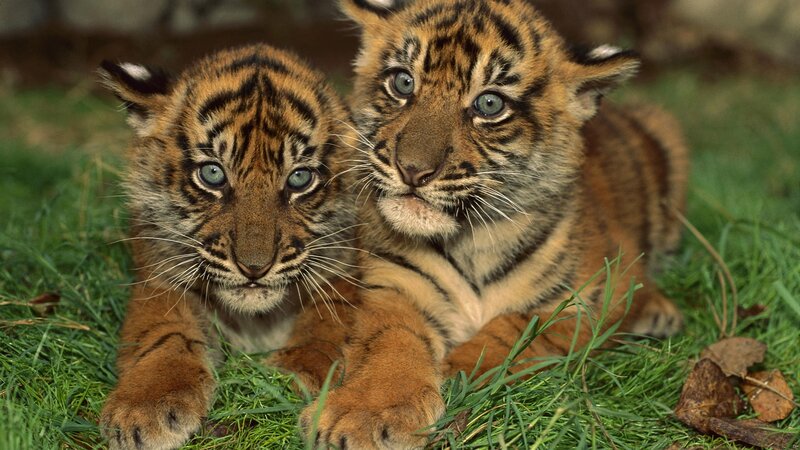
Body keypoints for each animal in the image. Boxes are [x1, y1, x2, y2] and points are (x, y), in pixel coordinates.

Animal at [97, 44, 361, 450]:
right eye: (212, 174)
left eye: (299, 178)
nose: (254, 267)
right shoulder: (159, 281)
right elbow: (164, 334)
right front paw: (143, 408)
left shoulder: (345, 276)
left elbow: (324, 329)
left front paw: (285, 377)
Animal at [300, 0, 689, 448]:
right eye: (402, 82)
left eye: (489, 104)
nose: (412, 170)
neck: (472, 239)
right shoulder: (395, 286)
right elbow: (390, 342)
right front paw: (363, 413)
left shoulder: (593, 293)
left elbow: (516, 327)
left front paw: (455, 373)